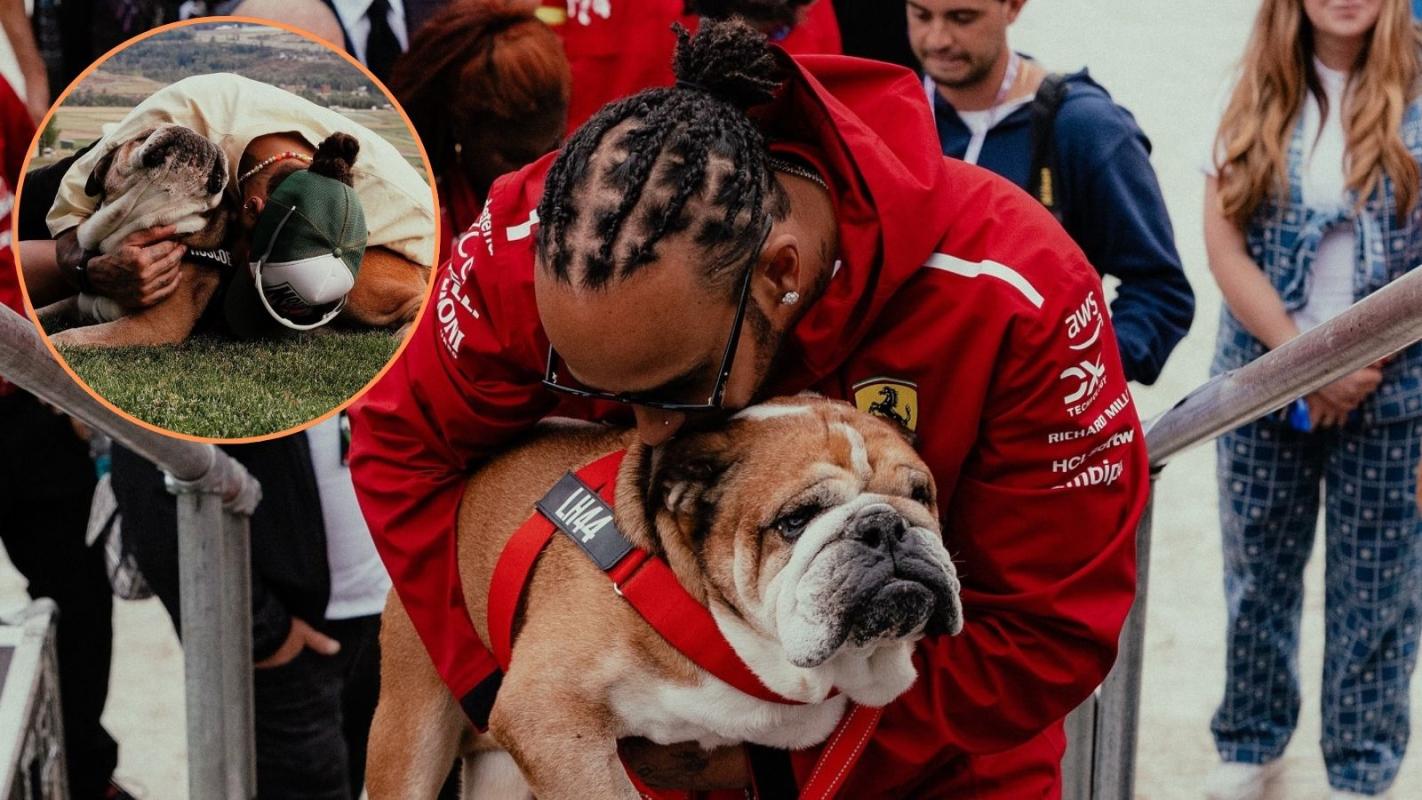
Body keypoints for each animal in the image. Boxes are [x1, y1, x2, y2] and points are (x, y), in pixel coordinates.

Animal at [42, 124, 428, 347]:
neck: (131, 227)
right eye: (142, 134)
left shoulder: (153, 326)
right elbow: (49, 310)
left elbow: (72, 338)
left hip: (358, 286)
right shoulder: (77, 301)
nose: (193, 133)